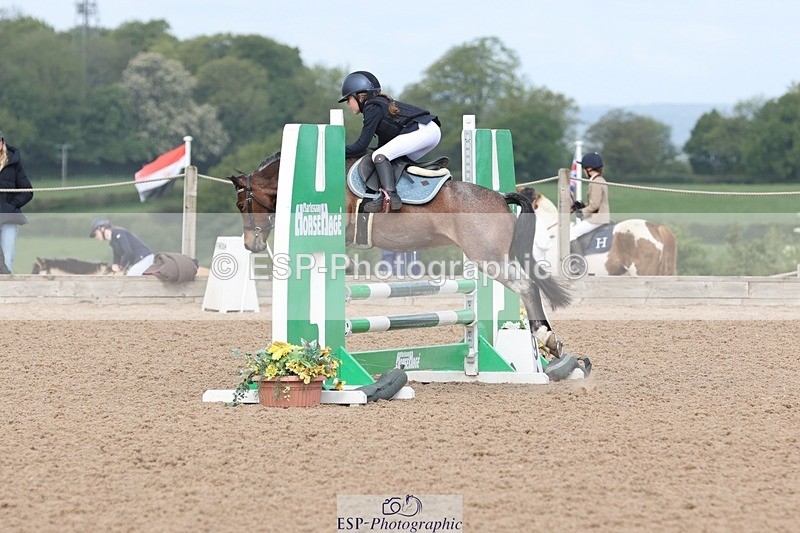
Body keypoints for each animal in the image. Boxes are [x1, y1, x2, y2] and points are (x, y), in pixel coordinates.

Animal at [228, 151, 572, 348]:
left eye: (240, 204)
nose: (250, 244)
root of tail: (500, 197)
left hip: (489, 260)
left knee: (526, 286)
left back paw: (545, 337)